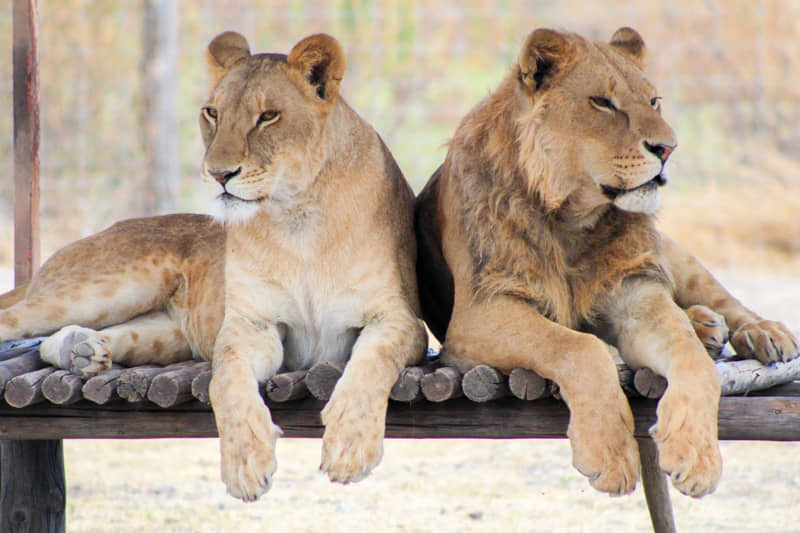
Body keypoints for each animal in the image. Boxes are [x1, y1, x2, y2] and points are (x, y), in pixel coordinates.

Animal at [0, 32, 428, 502]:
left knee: (60, 339)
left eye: (268, 116)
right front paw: (245, 463)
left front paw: (350, 447)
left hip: (163, 336)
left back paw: (80, 351)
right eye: (213, 113)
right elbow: (227, 379)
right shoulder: (251, 324)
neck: (297, 216)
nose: (219, 173)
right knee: (16, 320)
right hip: (105, 288)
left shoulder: (400, 319)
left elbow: (369, 365)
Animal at [416, 26, 796, 498]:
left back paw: (756, 331)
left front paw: (695, 456)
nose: (668, 149)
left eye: (654, 101)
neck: (571, 221)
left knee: (722, 300)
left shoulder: (636, 297)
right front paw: (610, 455)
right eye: (603, 103)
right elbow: (578, 345)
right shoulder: (479, 316)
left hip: (671, 255)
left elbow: (691, 358)